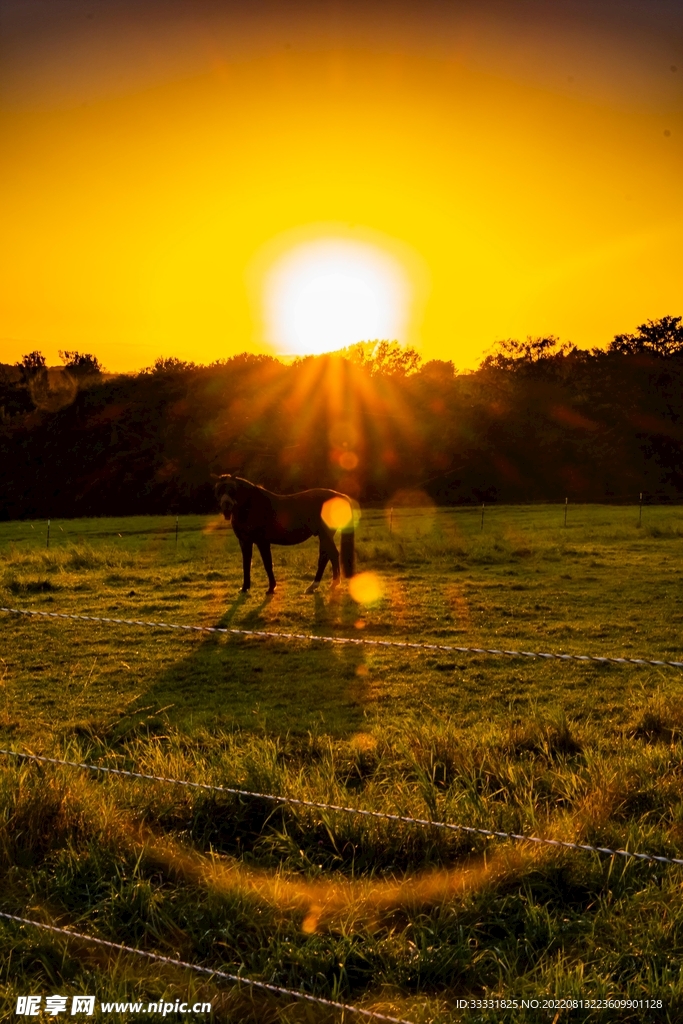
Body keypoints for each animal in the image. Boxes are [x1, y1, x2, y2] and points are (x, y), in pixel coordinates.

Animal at [213, 475, 356, 594]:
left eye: (233, 490)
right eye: (219, 490)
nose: (226, 507)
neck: (252, 506)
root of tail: (340, 496)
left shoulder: (262, 541)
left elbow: (267, 564)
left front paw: (271, 588)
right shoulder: (245, 541)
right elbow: (246, 564)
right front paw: (245, 588)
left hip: (325, 534)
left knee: (328, 556)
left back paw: (321, 585)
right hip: (324, 535)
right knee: (330, 555)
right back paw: (326, 585)